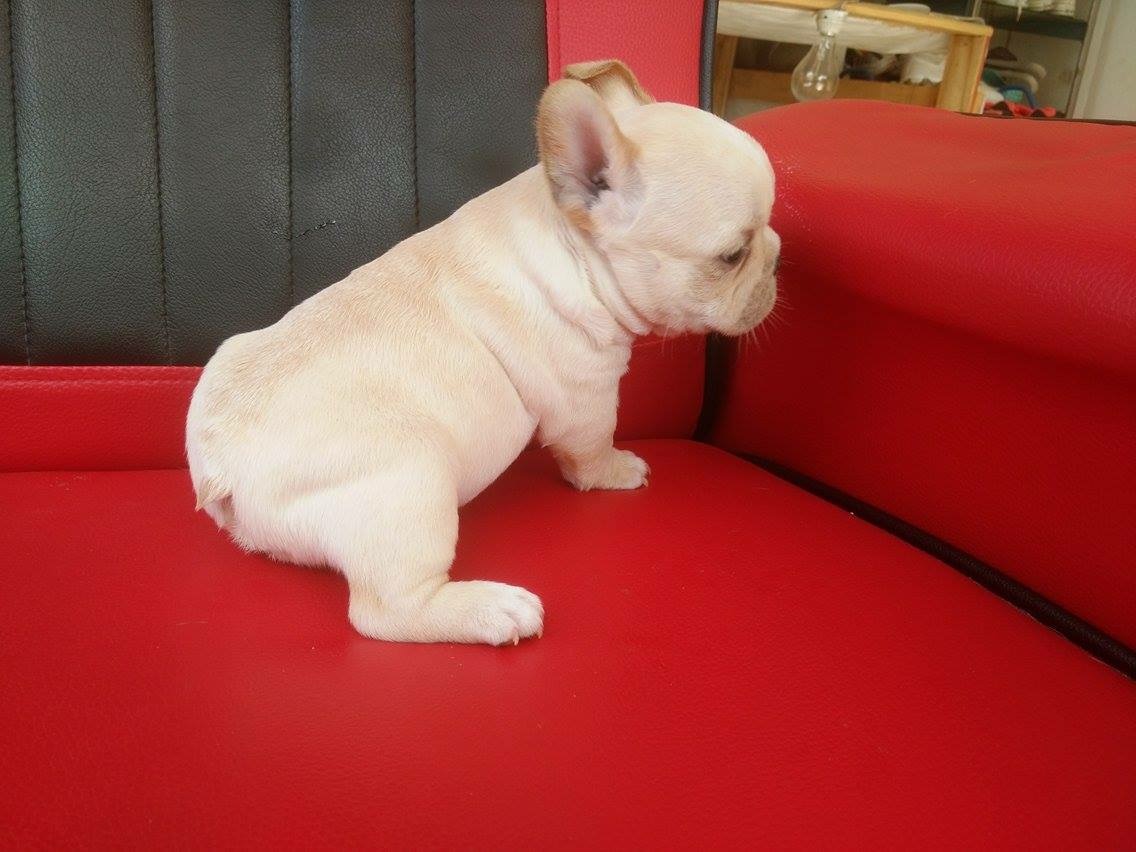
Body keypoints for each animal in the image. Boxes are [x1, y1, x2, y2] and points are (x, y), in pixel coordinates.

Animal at [186, 60, 780, 645]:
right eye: (732, 255)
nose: (777, 254)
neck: (569, 247)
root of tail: (220, 464)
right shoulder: (586, 395)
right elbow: (591, 447)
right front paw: (615, 471)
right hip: (408, 485)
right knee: (384, 612)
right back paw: (492, 610)